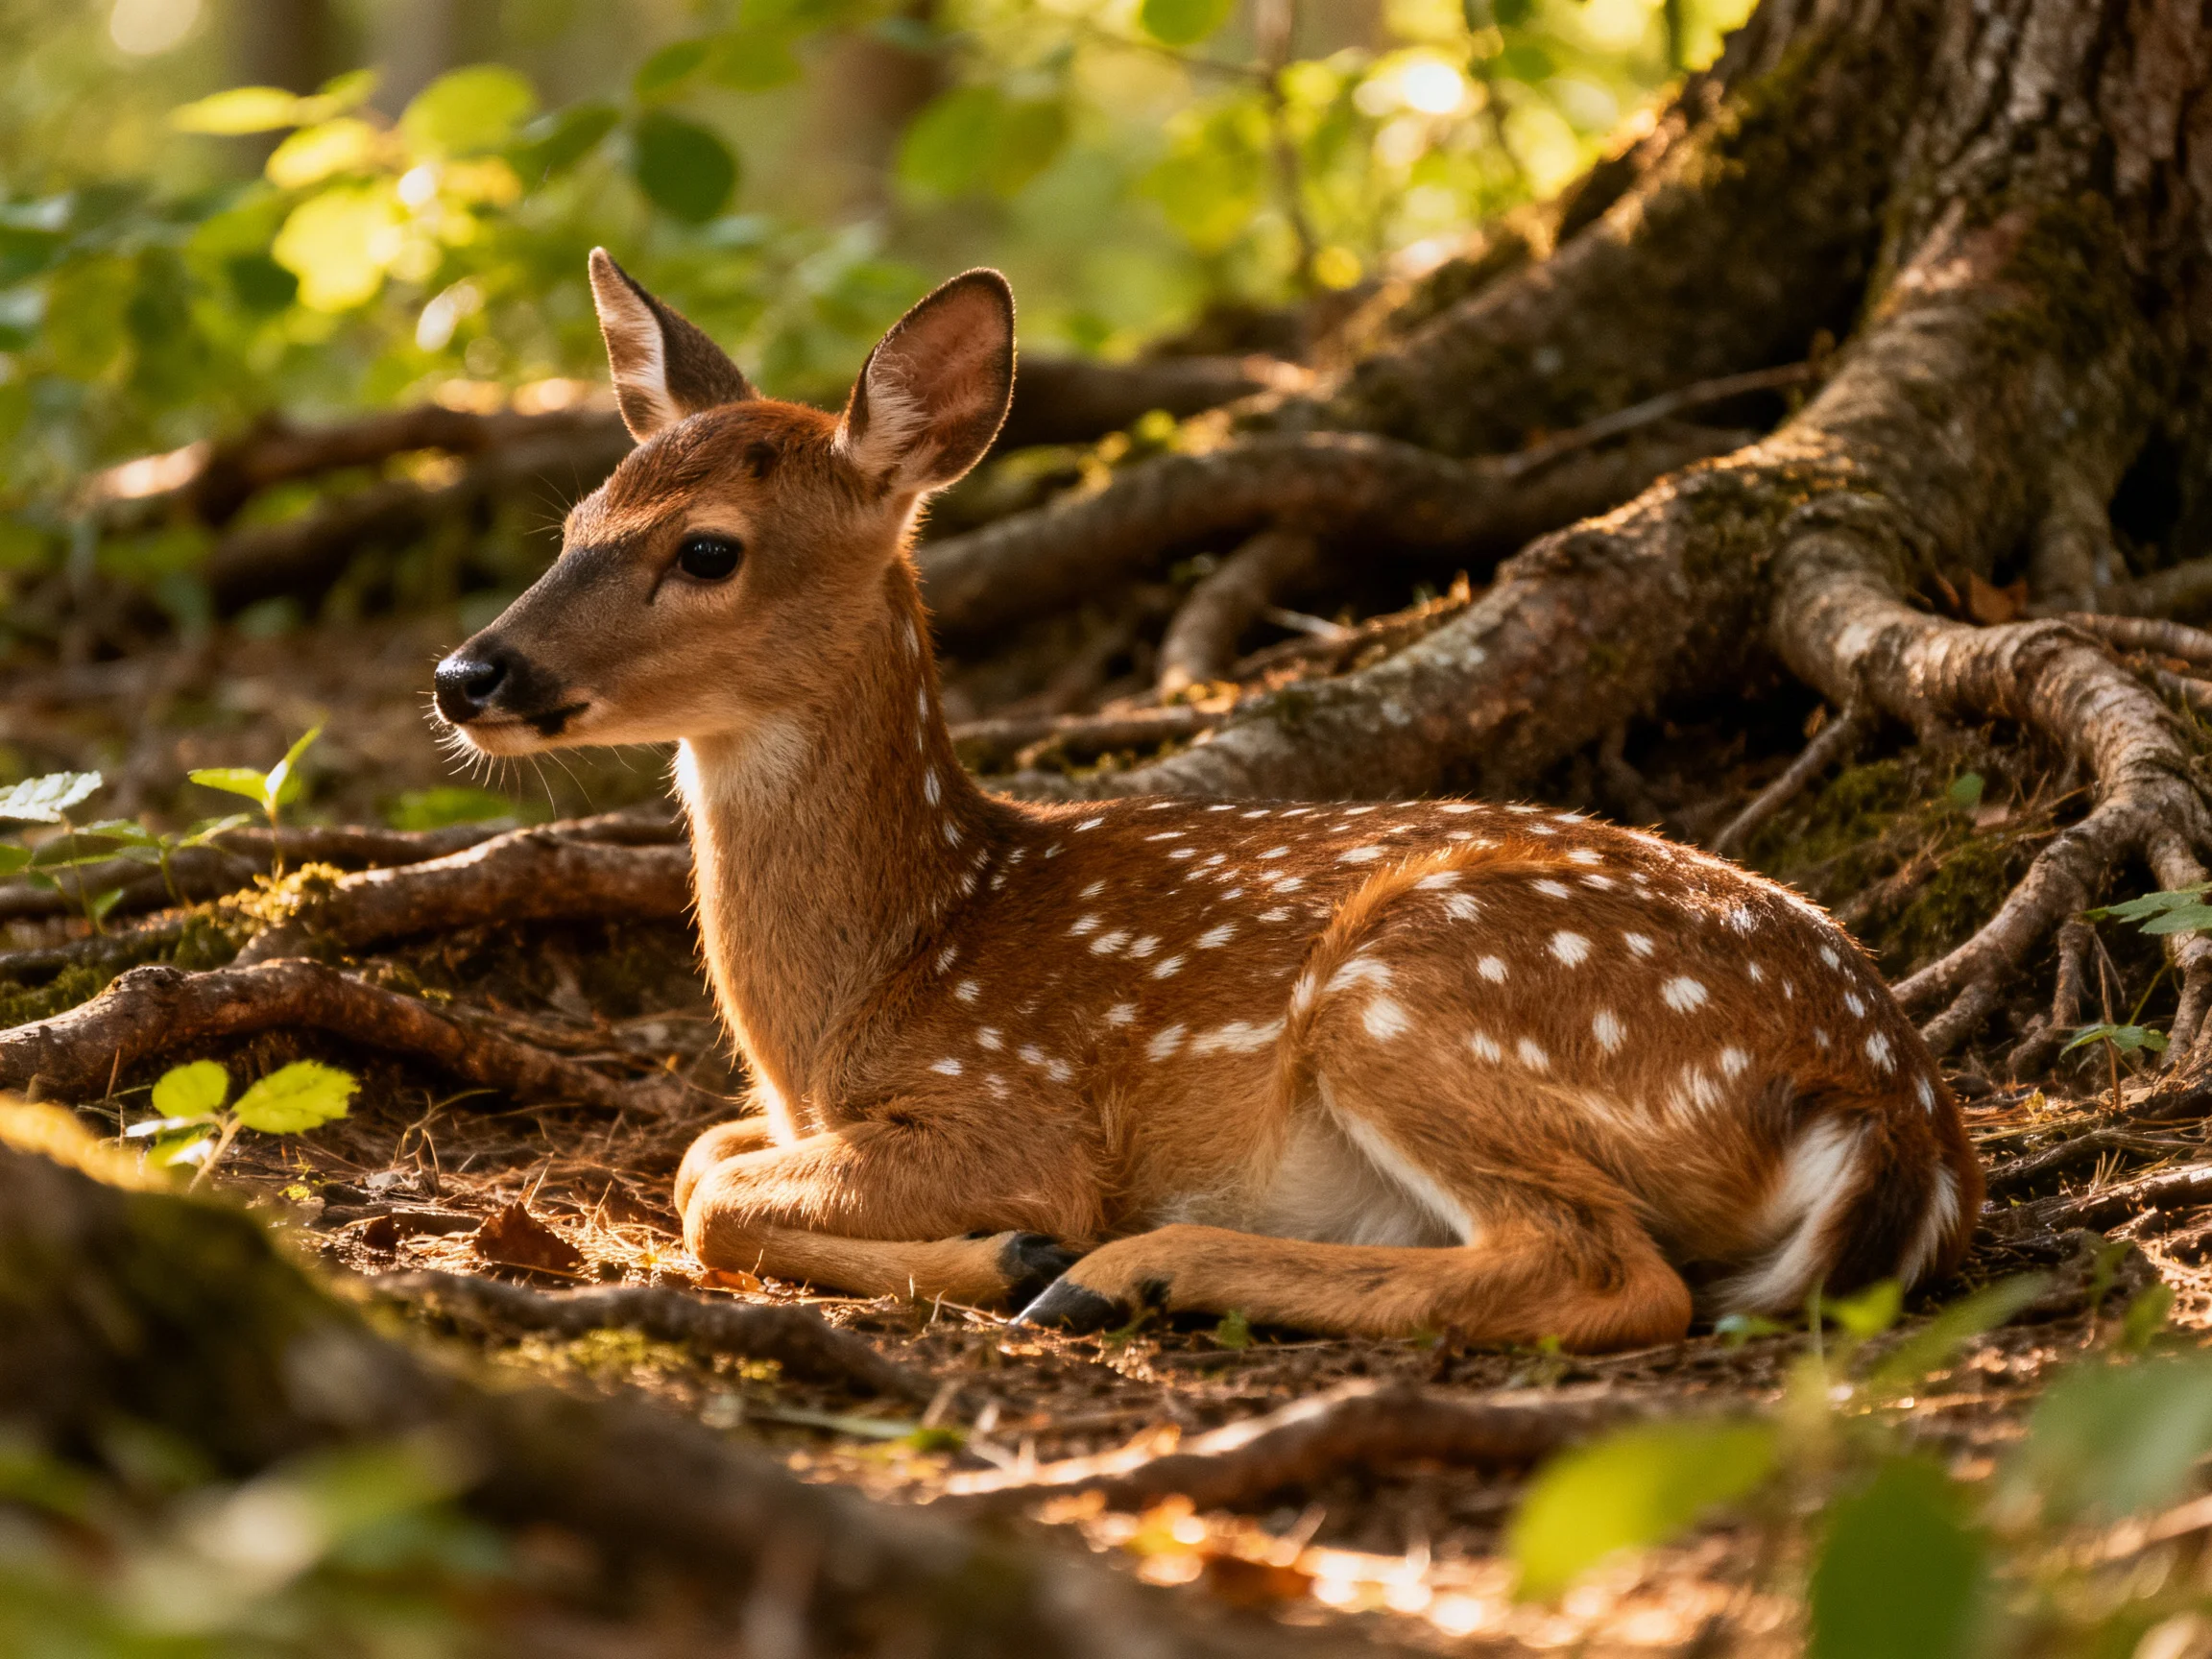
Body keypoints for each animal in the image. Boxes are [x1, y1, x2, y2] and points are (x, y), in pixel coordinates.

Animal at [431, 250, 1983, 1352]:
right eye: (575, 526)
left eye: (708, 550)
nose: (466, 672)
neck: (876, 974)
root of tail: (1892, 1113)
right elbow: (703, 1152)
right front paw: (994, 1256)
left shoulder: (1014, 1109)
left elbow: (706, 1196)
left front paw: (1024, 1247)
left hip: (1417, 990)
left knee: (1603, 1275)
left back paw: (1121, 1274)